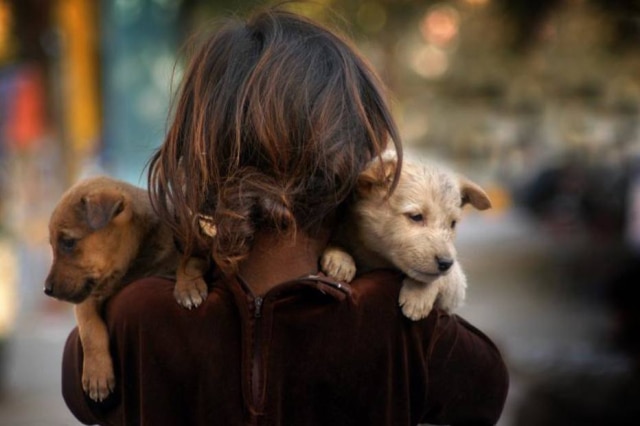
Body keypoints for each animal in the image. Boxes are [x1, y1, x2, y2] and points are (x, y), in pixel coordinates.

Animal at [45, 175, 210, 402]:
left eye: (68, 242)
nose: (46, 289)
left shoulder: (197, 247)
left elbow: (189, 261)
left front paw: (188, 288)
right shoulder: (90, 295)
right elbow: (90, 327)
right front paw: (97, 374)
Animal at [320, 153, 490, 320]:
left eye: (453, 223)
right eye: (416, 217)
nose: (446, 263)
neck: (378, 258)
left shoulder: (457, 286)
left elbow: (440, 278)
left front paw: (418, 294)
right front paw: (340, 258)